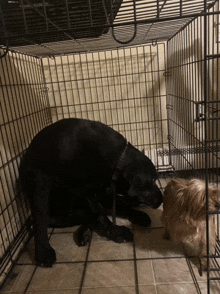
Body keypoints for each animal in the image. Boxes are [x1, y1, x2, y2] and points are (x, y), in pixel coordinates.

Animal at [18, 118, 162, 268]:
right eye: (152, 180)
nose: (162, 199)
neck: (117, 159)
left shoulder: (96, 191)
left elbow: (103, 213)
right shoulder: (45, 185)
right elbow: (41, 218)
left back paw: (137, 216)